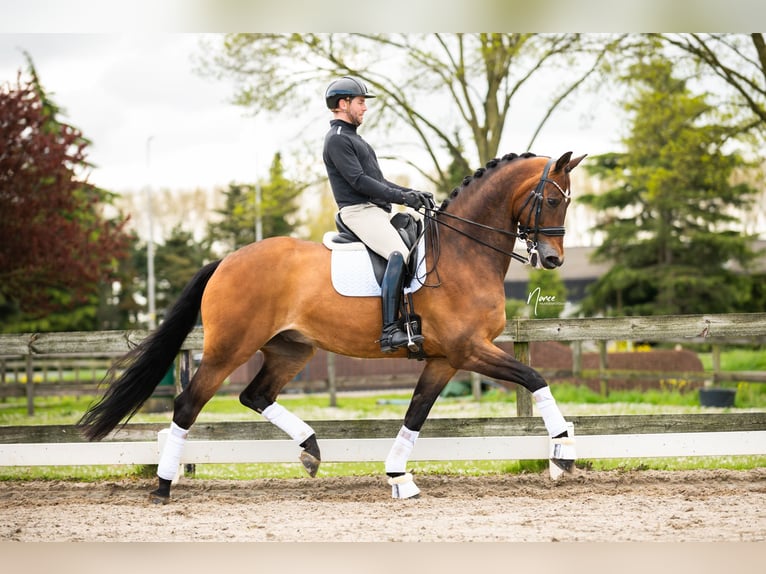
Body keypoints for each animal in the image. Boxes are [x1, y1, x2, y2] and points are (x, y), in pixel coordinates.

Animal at [79, 152, 588, 504]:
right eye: (550, 199)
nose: (552, 260)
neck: (465, 252)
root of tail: (226, 260)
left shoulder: (445, 359)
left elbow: (415, 414)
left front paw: (399, 478)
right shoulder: (469, 349)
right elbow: (535, 378)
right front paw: (562, 453)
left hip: (290, 349)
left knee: (255, 395)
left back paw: (310, 449)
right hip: (229, 348)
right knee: (189, 404)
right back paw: (163, 487)